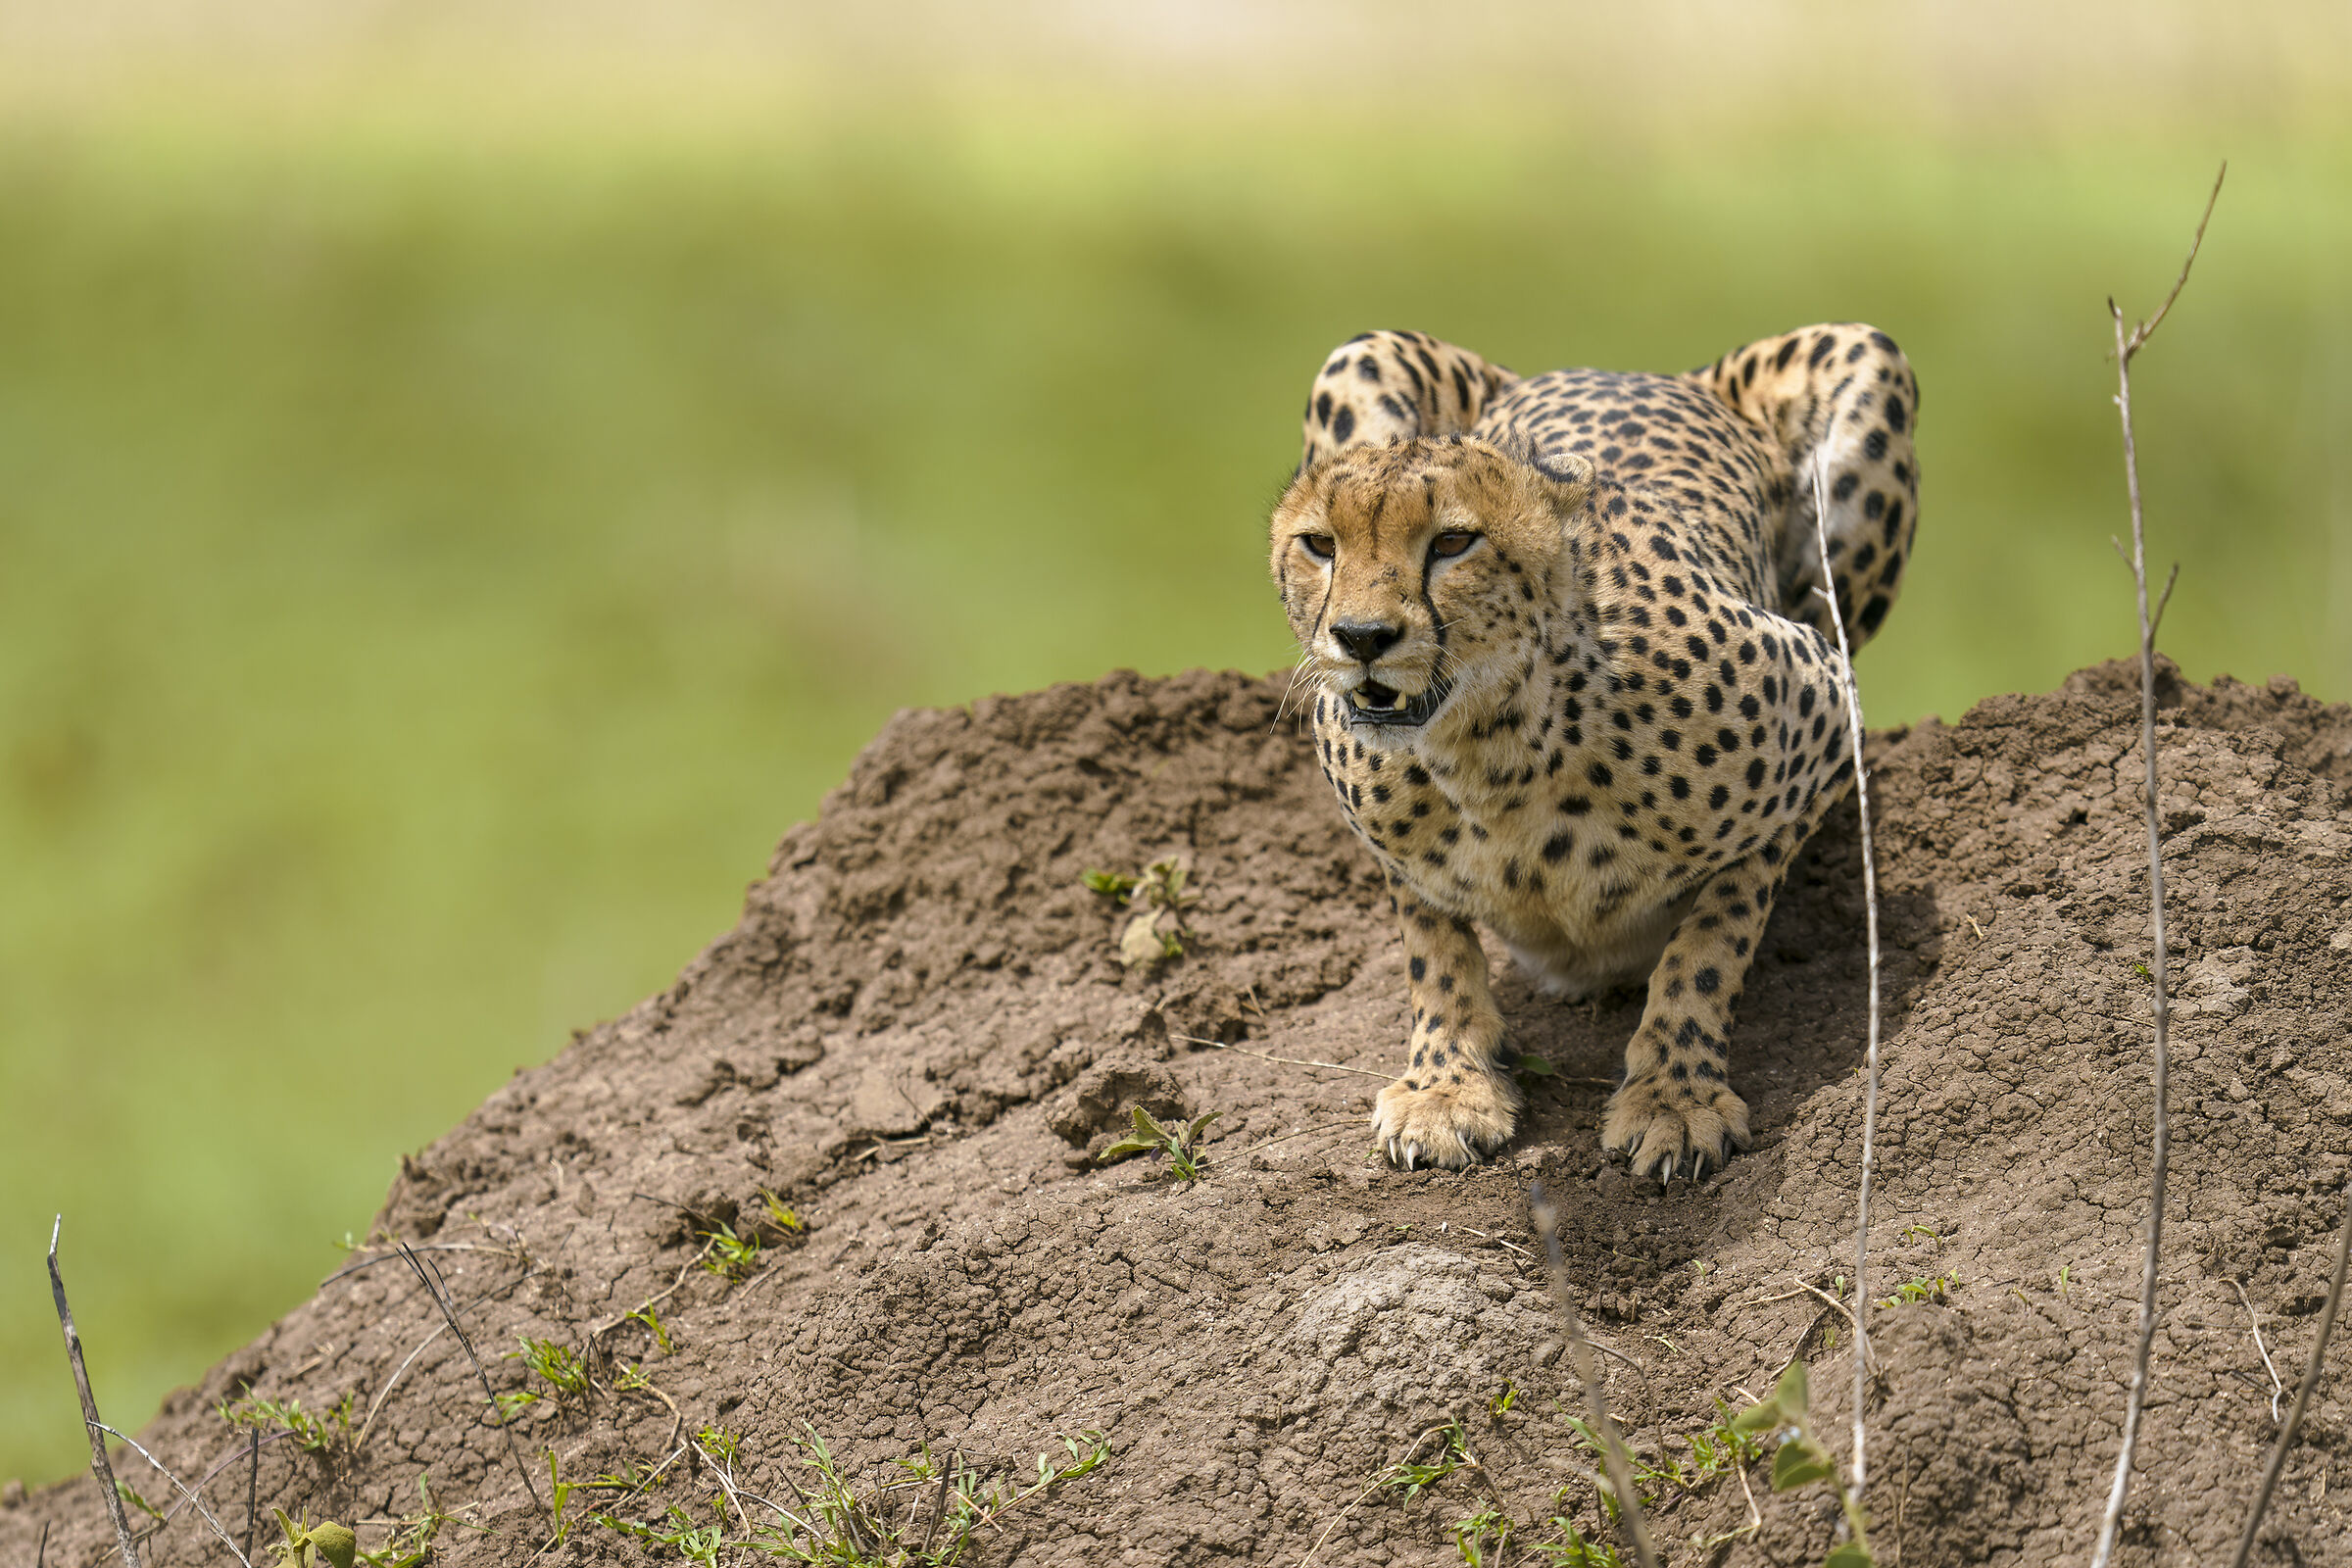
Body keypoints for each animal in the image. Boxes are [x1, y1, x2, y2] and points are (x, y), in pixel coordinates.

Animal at [1269, 323, 1919, 1176]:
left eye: (1453, 542)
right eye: (1319, 545)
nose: (1361, 637)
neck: (1493, 751)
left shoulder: (1825, 706)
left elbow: (1715, 935)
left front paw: (1675, 1094)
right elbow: (1432, 942)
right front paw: (1448, 1085)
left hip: (1868, 377)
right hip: (1361, 350)